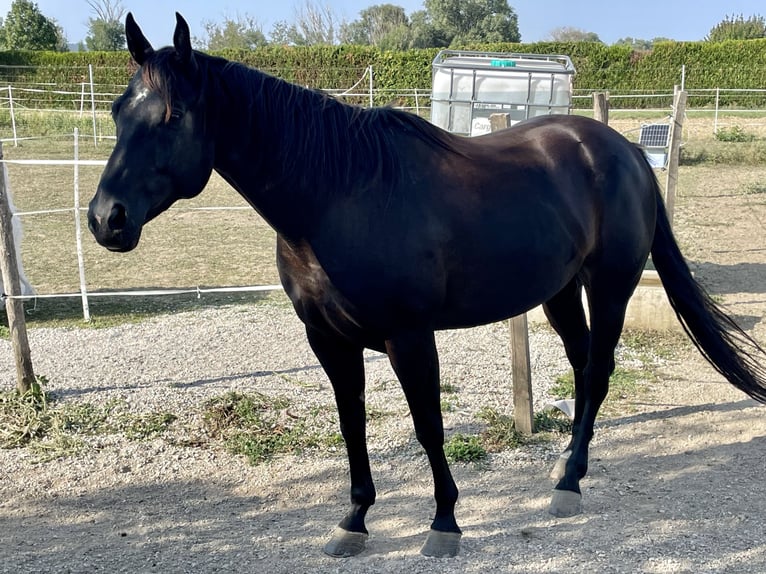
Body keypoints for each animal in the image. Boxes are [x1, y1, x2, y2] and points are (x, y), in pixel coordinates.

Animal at [87, 12, 764, 564]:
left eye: (174, 116)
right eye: (118, 112)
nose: (106, 219)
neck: (337, 195)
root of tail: (622, 149)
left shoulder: (410, 338)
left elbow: (428, 427)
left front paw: (444, 524)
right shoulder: (327, 340)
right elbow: (352, 425)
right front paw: (354, 522)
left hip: (611, 284)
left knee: (598, 371)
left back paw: (570, 484)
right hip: (559, 291)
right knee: (580, 365)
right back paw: (565, 469)